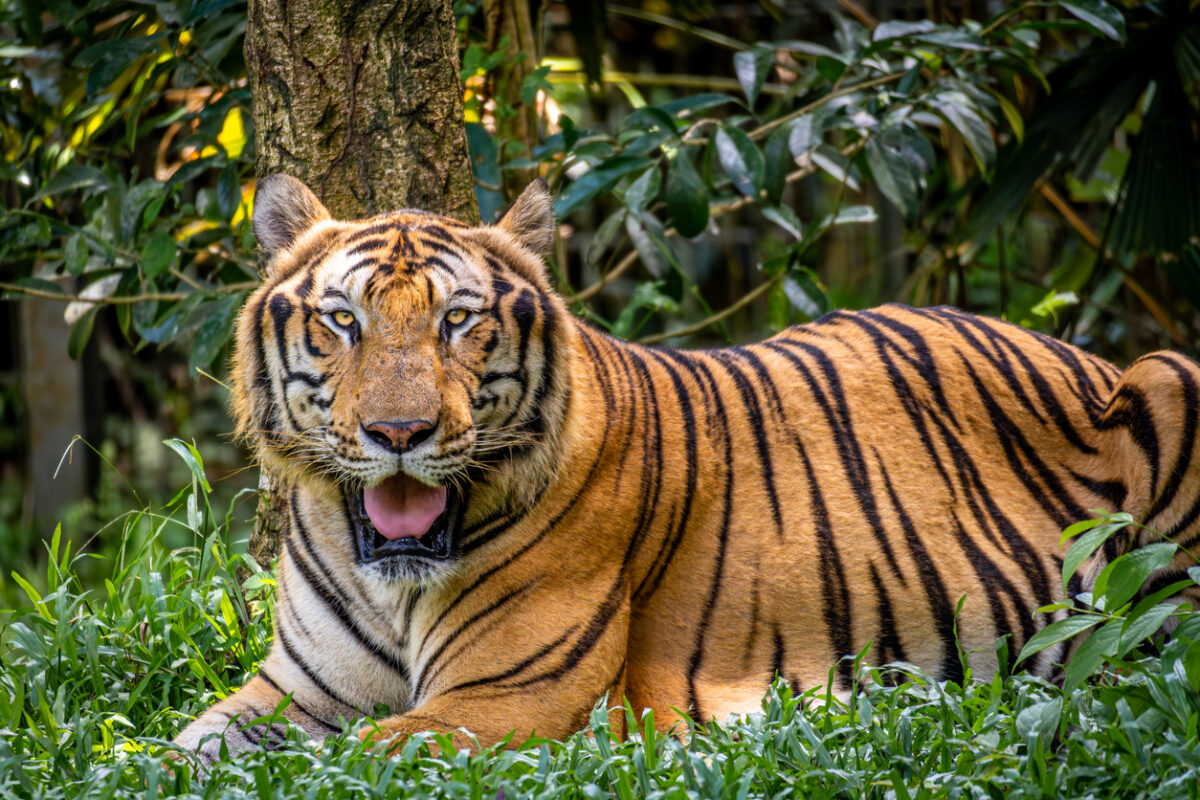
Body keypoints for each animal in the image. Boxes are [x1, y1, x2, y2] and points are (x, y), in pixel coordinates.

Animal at [174, 173, 1200, 762]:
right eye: (343, 321)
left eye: (457, 321)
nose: (399, 432)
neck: (381, 573)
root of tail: (1084, 355)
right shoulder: (295, 691)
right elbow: (172, 752)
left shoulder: (506, 697)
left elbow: (339, 761)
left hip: (1171, 377)